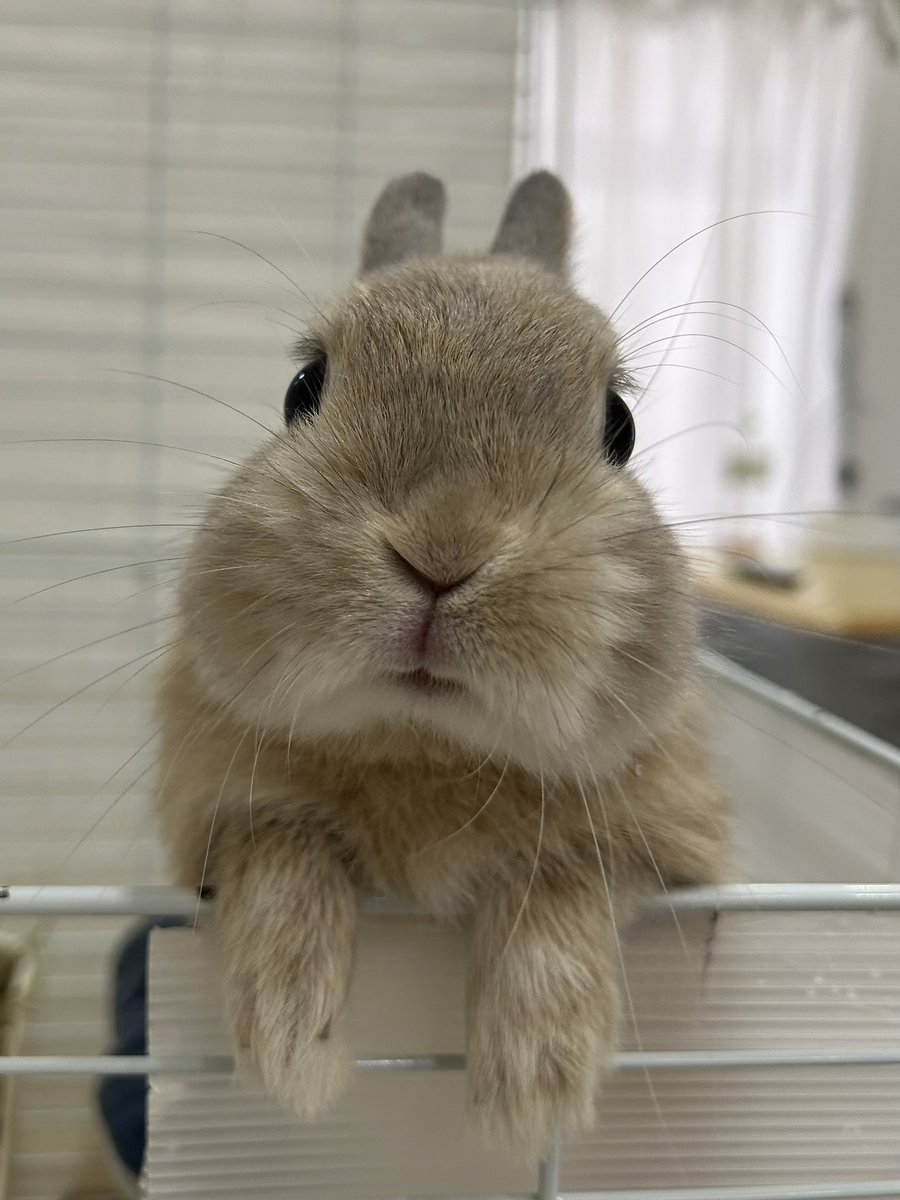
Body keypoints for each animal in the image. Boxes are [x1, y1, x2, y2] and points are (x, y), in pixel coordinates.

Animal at [156, 170, 731, 1153]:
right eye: (303, 387)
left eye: (619, 426)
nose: (441, 549)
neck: (427, 745)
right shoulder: (229, 821)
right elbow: (281, 856)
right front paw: (288, 1052)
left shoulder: (648, 849)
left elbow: (560, 879)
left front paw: (533, 1087)